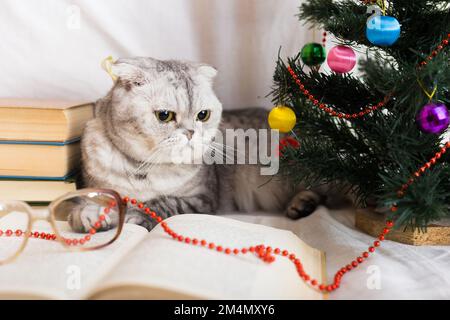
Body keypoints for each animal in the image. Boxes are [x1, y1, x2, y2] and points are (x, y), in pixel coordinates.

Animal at [68, 58, 326, 232]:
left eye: (203, 115)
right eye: (164, 116)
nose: (191, 132)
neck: (142, 170)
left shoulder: (201, 199)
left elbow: (162, 202)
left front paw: (136, 214)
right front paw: (87, 214)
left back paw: (302, 204)